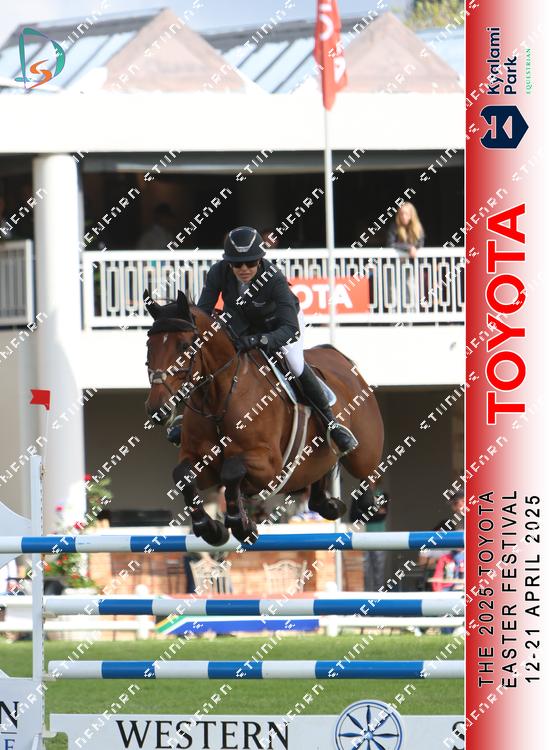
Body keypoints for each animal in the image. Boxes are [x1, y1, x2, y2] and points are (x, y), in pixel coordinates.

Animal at [144, 290, 384, 546]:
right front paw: (211, 528)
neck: (221, 397)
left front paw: (241, 525)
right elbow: (183, 475)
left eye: (184, 345)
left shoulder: (269, 466)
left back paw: (362, 498)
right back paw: (330, 505)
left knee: (366, 476)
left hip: (363, 453)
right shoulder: (200, 461)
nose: (157, 409)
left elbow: (232, 470)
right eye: (149, 346)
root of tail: (339, 357)